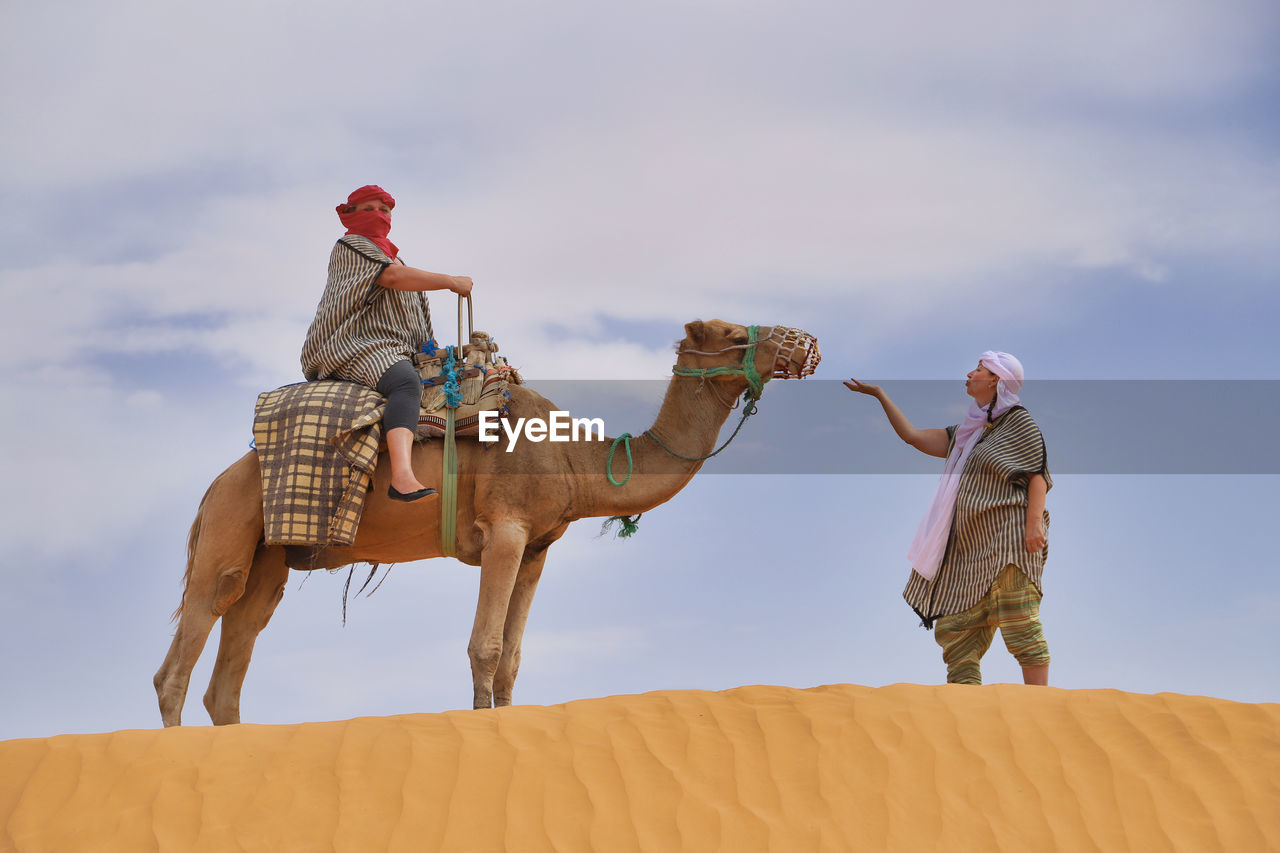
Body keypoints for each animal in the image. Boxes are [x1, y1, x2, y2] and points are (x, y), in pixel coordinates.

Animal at [154, 318, 819, 722]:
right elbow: (486, 647)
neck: (570, 456)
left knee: (233, 662)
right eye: (733, 333)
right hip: (230, 529)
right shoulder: (506, 529)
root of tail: (217, 483)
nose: (805, 342)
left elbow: (513, 659)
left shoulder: (538, 547)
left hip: (271, 560)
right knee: (183, 657)